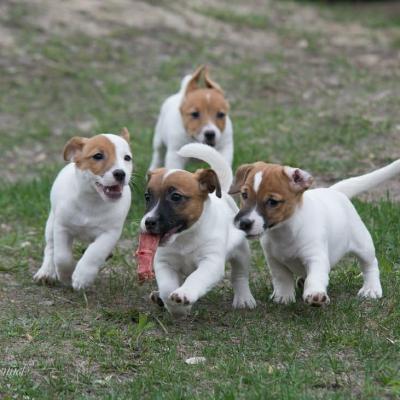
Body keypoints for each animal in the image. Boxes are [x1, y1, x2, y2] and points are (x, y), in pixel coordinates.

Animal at [33, 129, 133, 290]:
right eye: (98, 156)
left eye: (127, 158)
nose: (120, 173)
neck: (92, 201)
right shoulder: (62, 227)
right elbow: (62, 256)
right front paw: (66, 275)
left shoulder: (109, 233)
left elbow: (95, 252)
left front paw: (82, 277)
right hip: (51, 223)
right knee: (50, 248)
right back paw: (46, 272)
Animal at [228, 158, 400, 304]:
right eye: (244, 194)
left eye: (272, 202)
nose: (244, 223)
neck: (284, 231)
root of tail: (335, 191)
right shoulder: (274, 260)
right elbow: (282, 278)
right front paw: (283, 296)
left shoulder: (316, 257)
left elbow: (315, 277)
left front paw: (315, 293)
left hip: (363, 245)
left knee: (370, 264)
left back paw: (371, 288)